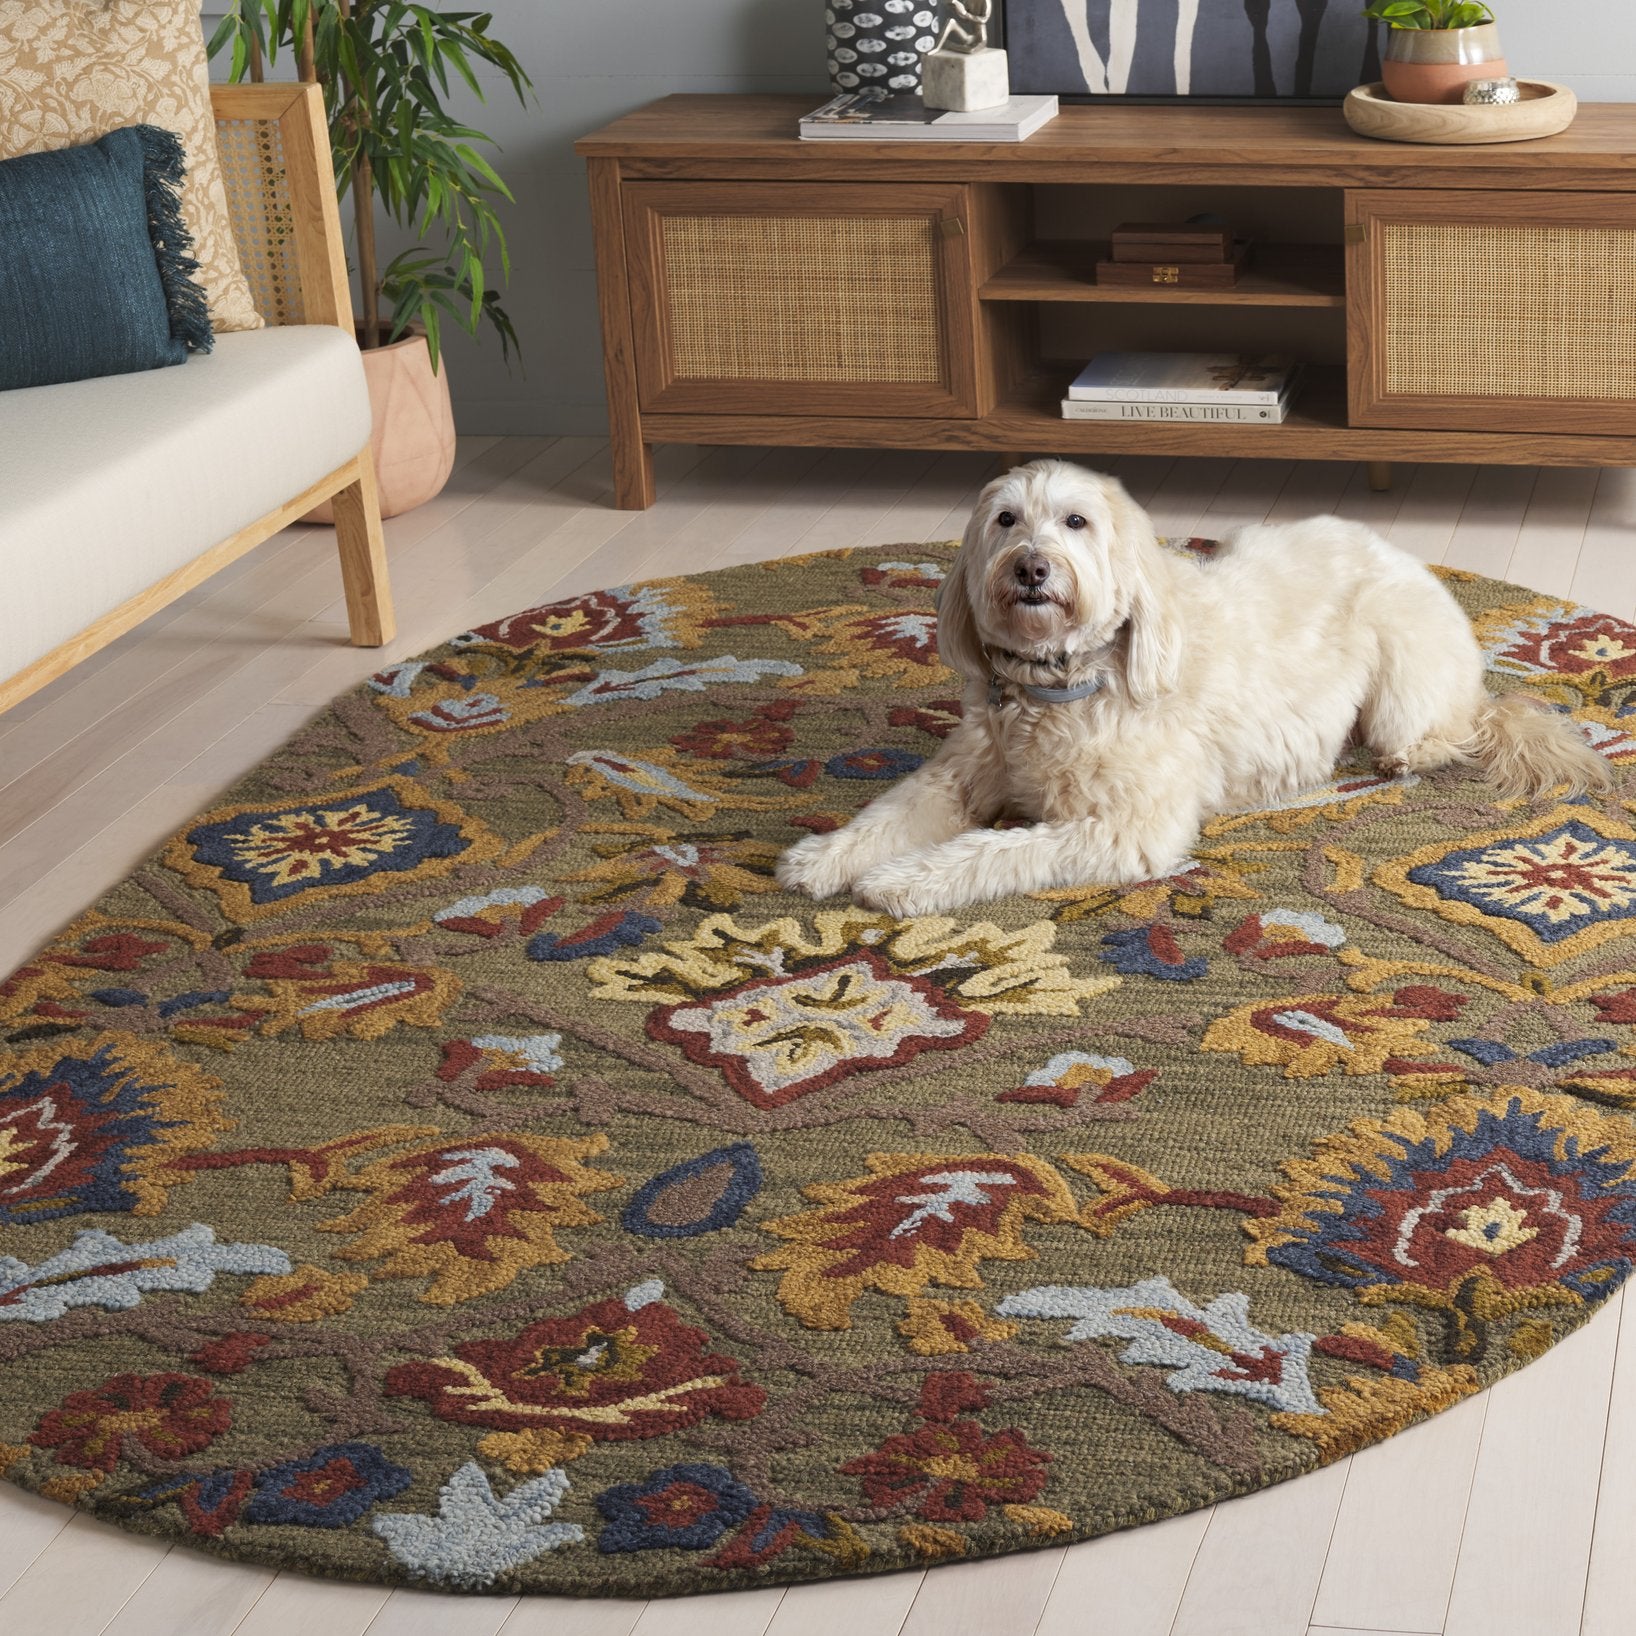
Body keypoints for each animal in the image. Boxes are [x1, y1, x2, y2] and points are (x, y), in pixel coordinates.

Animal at [776, 458, 1610, 920]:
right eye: (1007, 520)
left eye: (1075, 522)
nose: (1031, 568)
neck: (1062, 686)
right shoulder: (958, 774)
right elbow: (891, 812)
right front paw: (826, 857)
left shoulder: (1123, 829)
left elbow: (992, 850)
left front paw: (901, 881)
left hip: (1403, 681)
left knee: (1445, 731)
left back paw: (1409, 755)